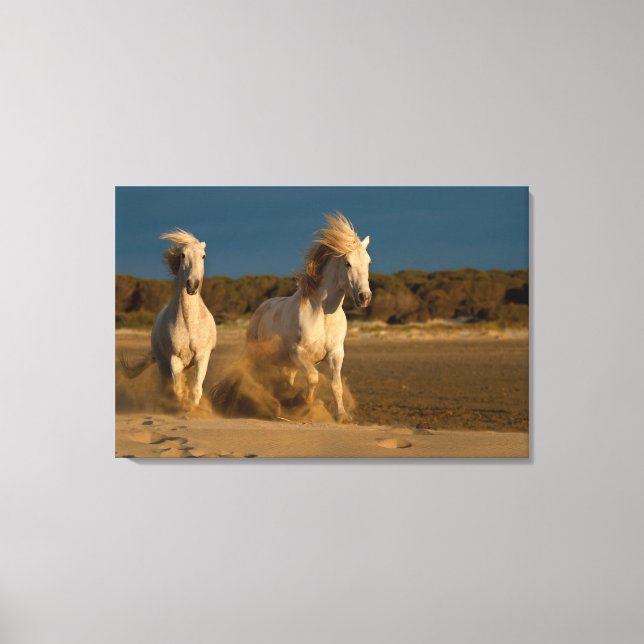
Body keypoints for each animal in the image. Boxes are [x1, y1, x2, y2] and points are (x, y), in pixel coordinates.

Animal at [120, 229, 217, 406]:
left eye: (203, 256)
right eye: (183, 255)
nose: (192, 285)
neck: (190, 323)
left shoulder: (202, 357)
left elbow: (196, 389)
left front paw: (193, 408)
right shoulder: (174, 359)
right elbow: (178, 390)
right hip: (163, 365)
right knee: (165, 387)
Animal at [245, 212, 371, 422]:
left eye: (369, 262)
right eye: (347, 263)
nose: (365, 297)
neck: (323, 315)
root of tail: (261, 309)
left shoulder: (336, 353)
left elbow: (336, 385)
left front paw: (342, 416)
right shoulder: (299, 353)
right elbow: (313, 378)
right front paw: (305, 406)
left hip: (287, 365)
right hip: (260, 357)